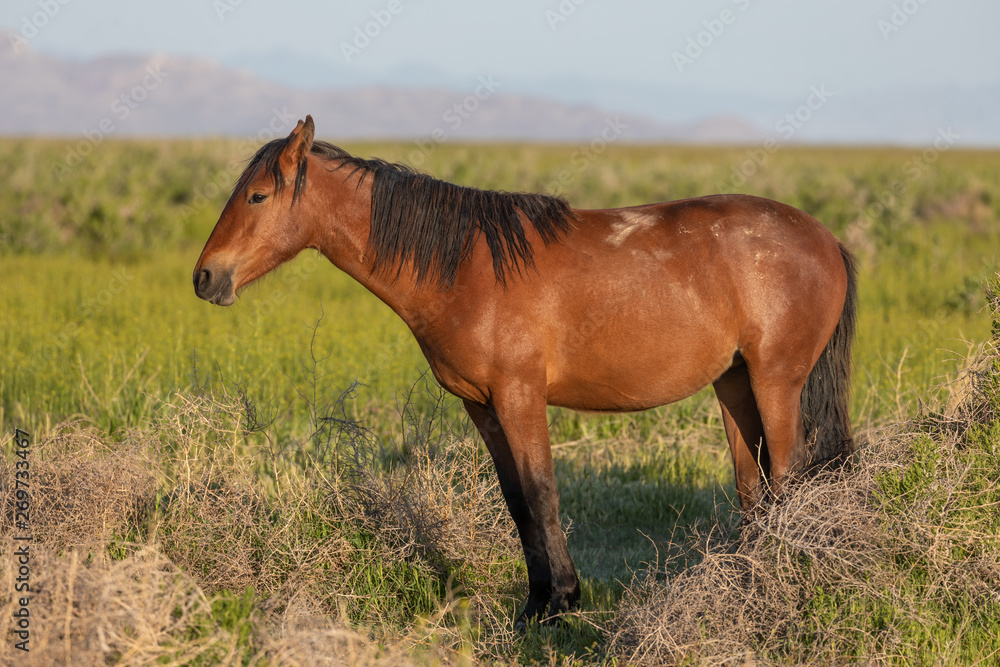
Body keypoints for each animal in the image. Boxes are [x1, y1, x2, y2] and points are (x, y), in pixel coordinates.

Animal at [194, 115, 857, 627]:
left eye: (258, 196)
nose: (205, 277)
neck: (465, 267)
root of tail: (826, 238)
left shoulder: (519, 396)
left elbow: (542, 492)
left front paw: (560, 603)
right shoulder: (482, 405)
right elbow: (516, 500)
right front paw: (537, 601)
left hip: (776, 384)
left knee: (788, 481)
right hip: (734, 384)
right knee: (755, 490)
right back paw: (745, 587)